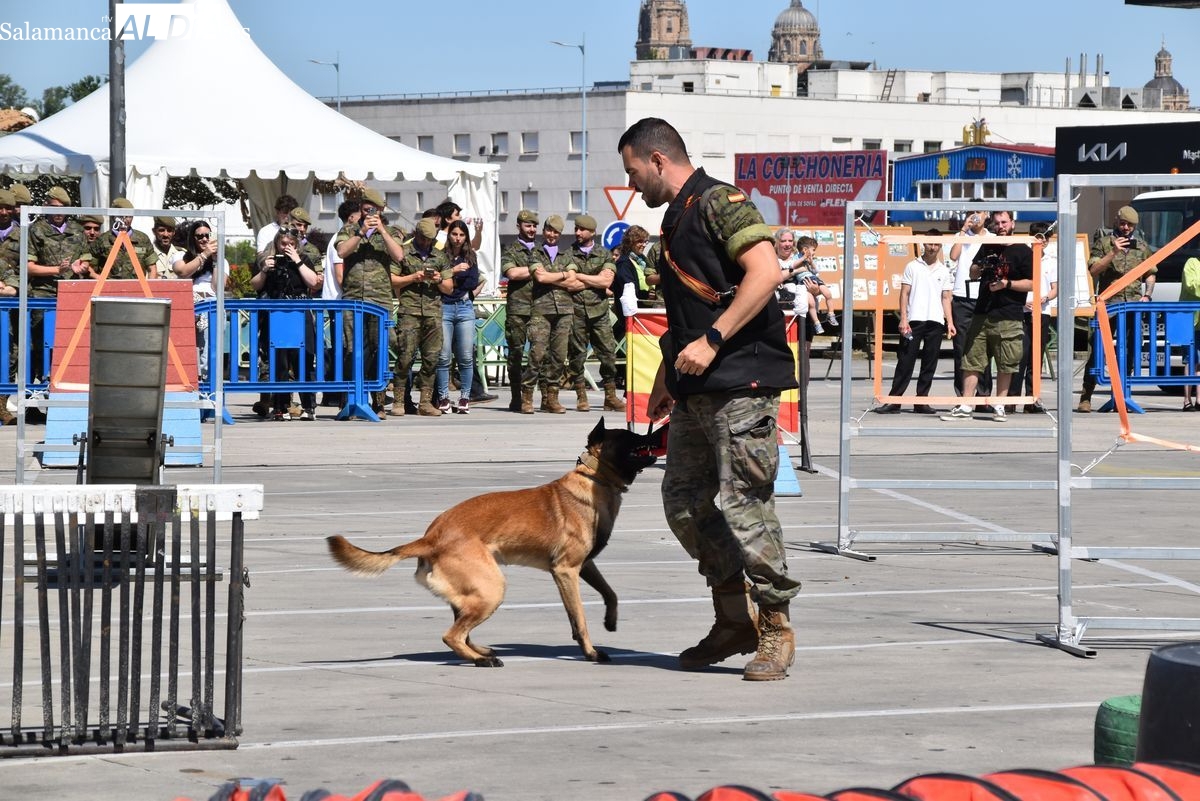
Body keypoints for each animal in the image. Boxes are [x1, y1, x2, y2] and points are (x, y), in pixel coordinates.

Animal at [327, 419, 663, 667]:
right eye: (627, 436)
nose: (654, 434)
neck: (593, 478)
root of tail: (431, 536)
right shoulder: (567, 571)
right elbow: (578, 618)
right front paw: (590, 653)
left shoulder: (585, 565)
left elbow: (611, 593)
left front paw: (610, 620)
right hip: (492, 588)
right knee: (452, 635)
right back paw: (480, 660)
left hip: (472, 593)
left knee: (461, 629)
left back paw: (481, 651)